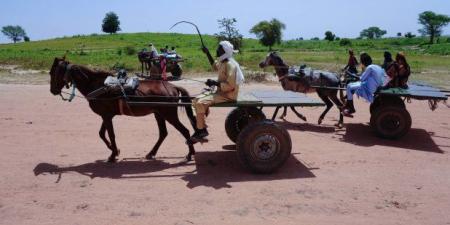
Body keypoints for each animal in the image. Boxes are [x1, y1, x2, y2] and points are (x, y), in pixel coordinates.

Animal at [48, 57, 197, 163]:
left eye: (53, 72)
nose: (52, 90)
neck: (99, 86)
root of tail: (172, 86)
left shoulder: (106, 116)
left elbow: (110, 134)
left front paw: (113, 154)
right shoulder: (106, 115)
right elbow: (101, 134)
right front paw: (115, 150)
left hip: (169, 114)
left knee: (185, 131)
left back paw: (190, 154)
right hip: (159, 114)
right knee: (163, 133)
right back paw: (152, 153)